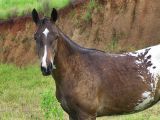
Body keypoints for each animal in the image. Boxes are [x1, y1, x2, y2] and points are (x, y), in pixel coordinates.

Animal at [31, 7, 160, 119]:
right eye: (35, 37)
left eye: (56, 36)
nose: (46, 67)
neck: (76, 70)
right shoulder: (72, 114)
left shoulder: (87, 114)